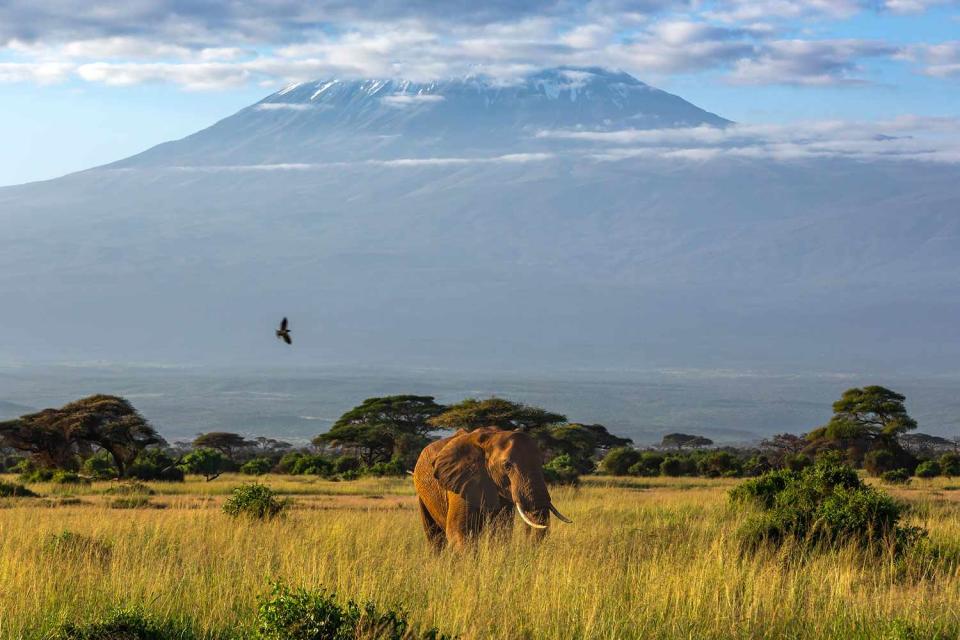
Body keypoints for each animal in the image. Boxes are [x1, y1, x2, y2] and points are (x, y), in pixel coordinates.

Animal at [410, 424, 568, 552]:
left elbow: (500, 531)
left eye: (541, 462)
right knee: (434, 536)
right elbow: (459, 532)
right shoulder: (459, 482)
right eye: (507, 466)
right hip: (422, 493)